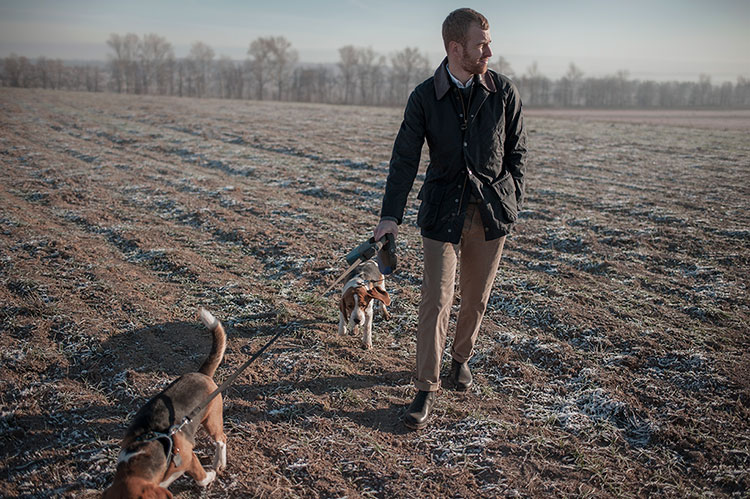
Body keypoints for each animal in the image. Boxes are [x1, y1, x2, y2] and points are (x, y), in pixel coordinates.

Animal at [102, 310, 229, 498]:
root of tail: (202, 374)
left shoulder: (189, 458)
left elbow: (201, 478)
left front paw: (210, 475)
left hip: (212, 421)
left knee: (221, 439)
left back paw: (219, 463)